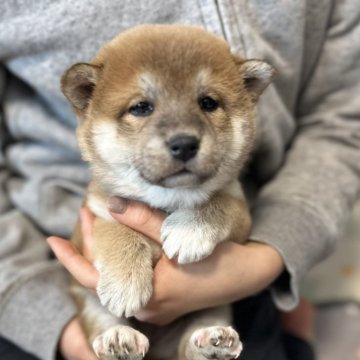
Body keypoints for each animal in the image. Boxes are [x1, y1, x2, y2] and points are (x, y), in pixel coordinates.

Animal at [62, 23, 274, 358]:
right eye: (141, 107)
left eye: (208, 103)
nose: (184, 143)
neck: (168, 201)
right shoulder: (96, 213)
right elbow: (117, 230)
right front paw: (125, 281)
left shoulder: (240, 213)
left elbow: (219, 204)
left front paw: (189, 230)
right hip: (88, 302)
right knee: (104, 326)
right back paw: (119, 339)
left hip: (213, 307)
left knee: (191, 344)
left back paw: (213, 341)